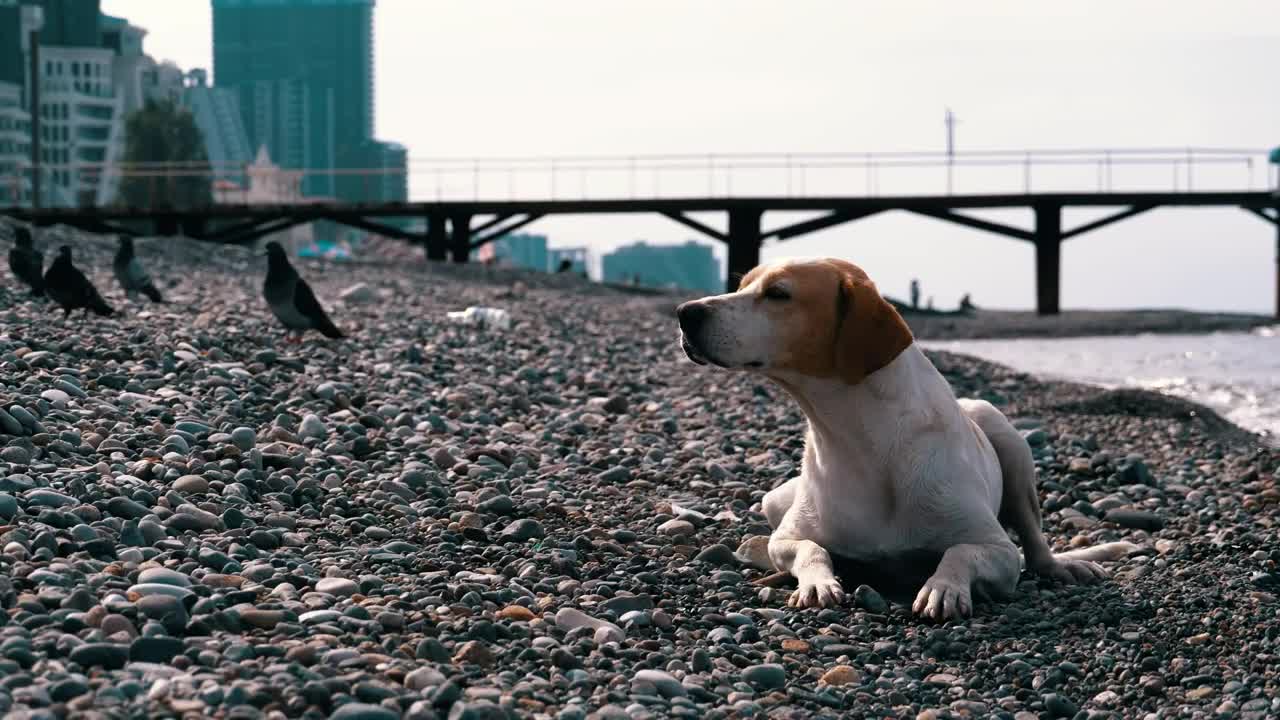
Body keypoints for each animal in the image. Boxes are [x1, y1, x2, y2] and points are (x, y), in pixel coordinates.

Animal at [675, 257, 1136, 617]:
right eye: (742, 286)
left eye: (777, 293)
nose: (685, 312)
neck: (862, 441)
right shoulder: (787, 536)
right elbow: (811, 548)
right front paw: (818, 583)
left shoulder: (999, 551)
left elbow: (960, 551)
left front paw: (943, 587)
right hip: (773, 499)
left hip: (1005, 436)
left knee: (1037, 548)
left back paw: (1063, 566)